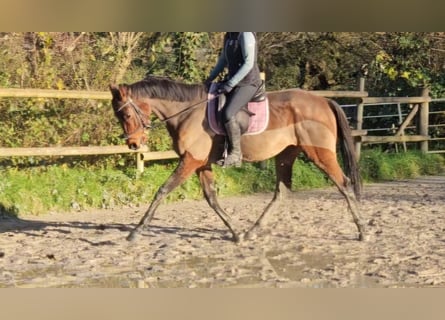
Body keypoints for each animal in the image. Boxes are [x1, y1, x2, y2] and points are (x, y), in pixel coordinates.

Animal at [110, 76, 364, 244]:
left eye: (127, 114)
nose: (133, 145)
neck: (187, 112)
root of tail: (324, 102)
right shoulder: (202, 163)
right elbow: (211, 198)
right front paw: (236, 232)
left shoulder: (191, 161)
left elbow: (162, 191)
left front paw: (136, 231)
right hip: (286, 155)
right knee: (281, 192)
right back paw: (252, 231)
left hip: (319, 153)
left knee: (344, 184)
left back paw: (362, 230)